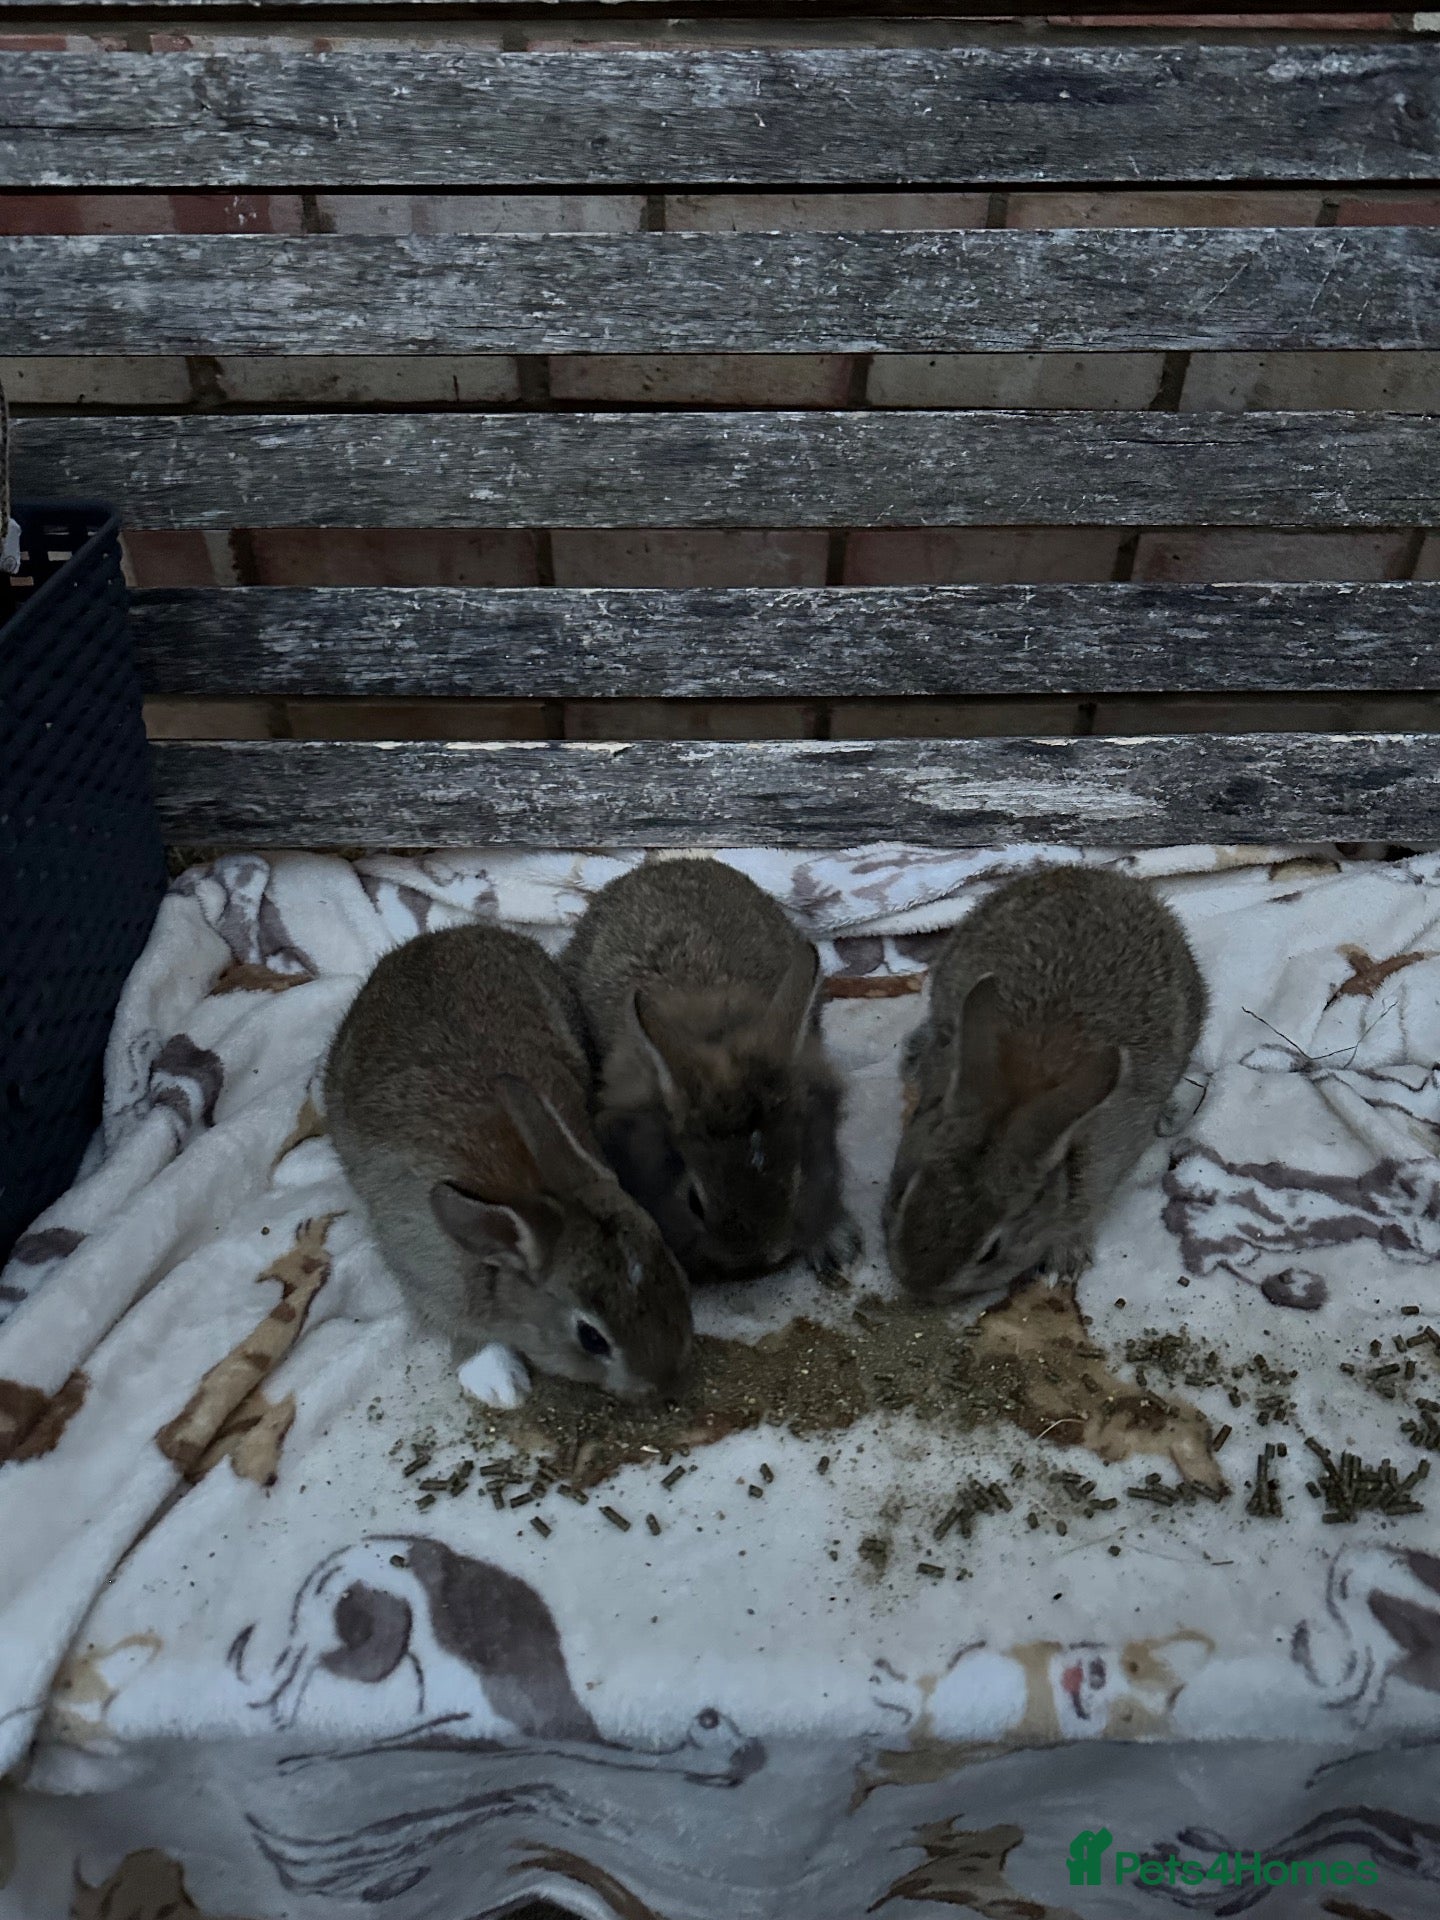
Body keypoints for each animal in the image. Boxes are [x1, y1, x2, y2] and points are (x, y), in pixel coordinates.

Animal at [325, 924, 692, 1402]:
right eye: (591, 1338)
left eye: (666, 1255)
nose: (666, 1383)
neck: (529, 1188)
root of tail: (434, 937)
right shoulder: (425, 1276)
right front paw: (499, 1384)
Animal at [884, 866, 1206, 1303]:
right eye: (904, 1194)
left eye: (992, 1251)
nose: (917, 1285)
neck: (1021, 1092)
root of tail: (1103, 875)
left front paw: (1063, 1260)